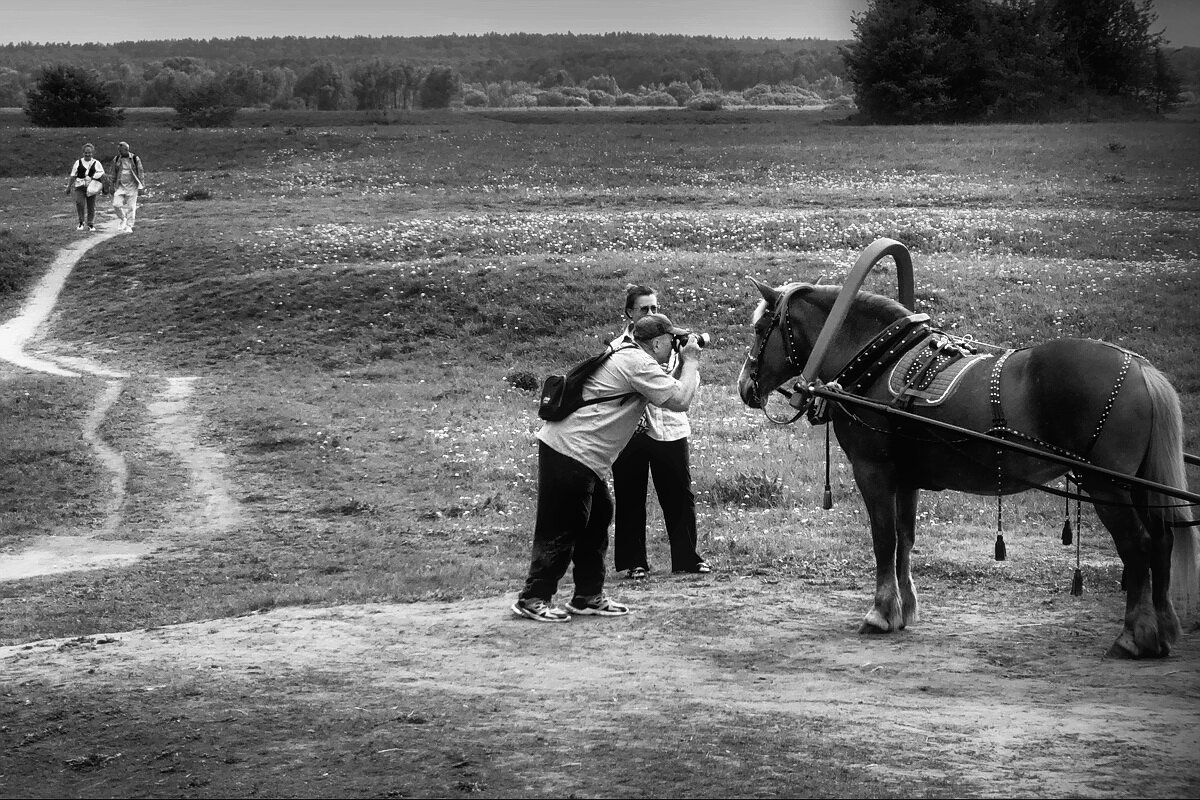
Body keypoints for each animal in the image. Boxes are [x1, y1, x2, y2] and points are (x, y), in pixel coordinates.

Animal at [734, 255, 1195, 657]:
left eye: (759, 329)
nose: (744, 387)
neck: (878, 362)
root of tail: (1141, 370)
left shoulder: (874, 471)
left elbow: (883, 539)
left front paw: (880, 613)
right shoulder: (906, 478)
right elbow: (905, 539)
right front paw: (905, 610)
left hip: (1107, 486)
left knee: (1138, 545)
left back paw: (1134, 636)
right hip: (1136, 485)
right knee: (1163, 539)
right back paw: (1163, 628)